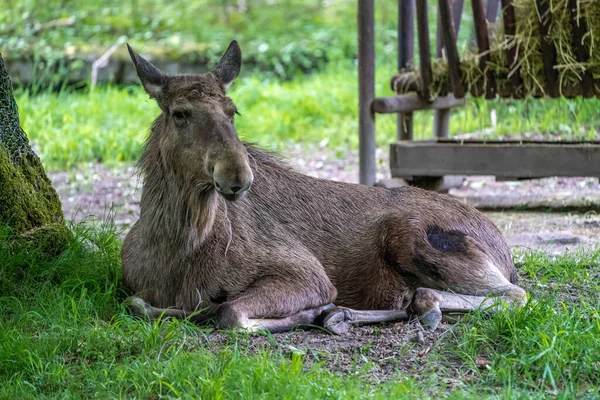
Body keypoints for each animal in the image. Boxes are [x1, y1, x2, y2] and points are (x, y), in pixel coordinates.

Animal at [122, 40, 524, 334]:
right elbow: (139, 305)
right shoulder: (137, 290)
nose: (237, 174)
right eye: (179, 113)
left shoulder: (308, 274)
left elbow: (230, 313)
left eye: (232, 111)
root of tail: (506, 252)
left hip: (415, 238)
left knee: (514, 294)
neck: (178, 248)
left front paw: (307, 313)